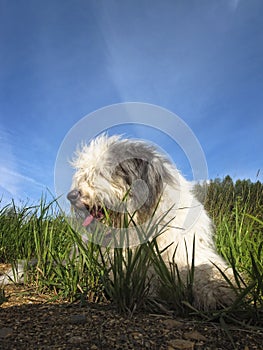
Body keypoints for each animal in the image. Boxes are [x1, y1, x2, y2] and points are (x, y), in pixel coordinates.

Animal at [68, 134, 237, 308]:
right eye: (83, 176)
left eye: (99, 173)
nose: (71, 196)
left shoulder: (187, 249)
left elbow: (203, 268)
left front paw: (220, 289)